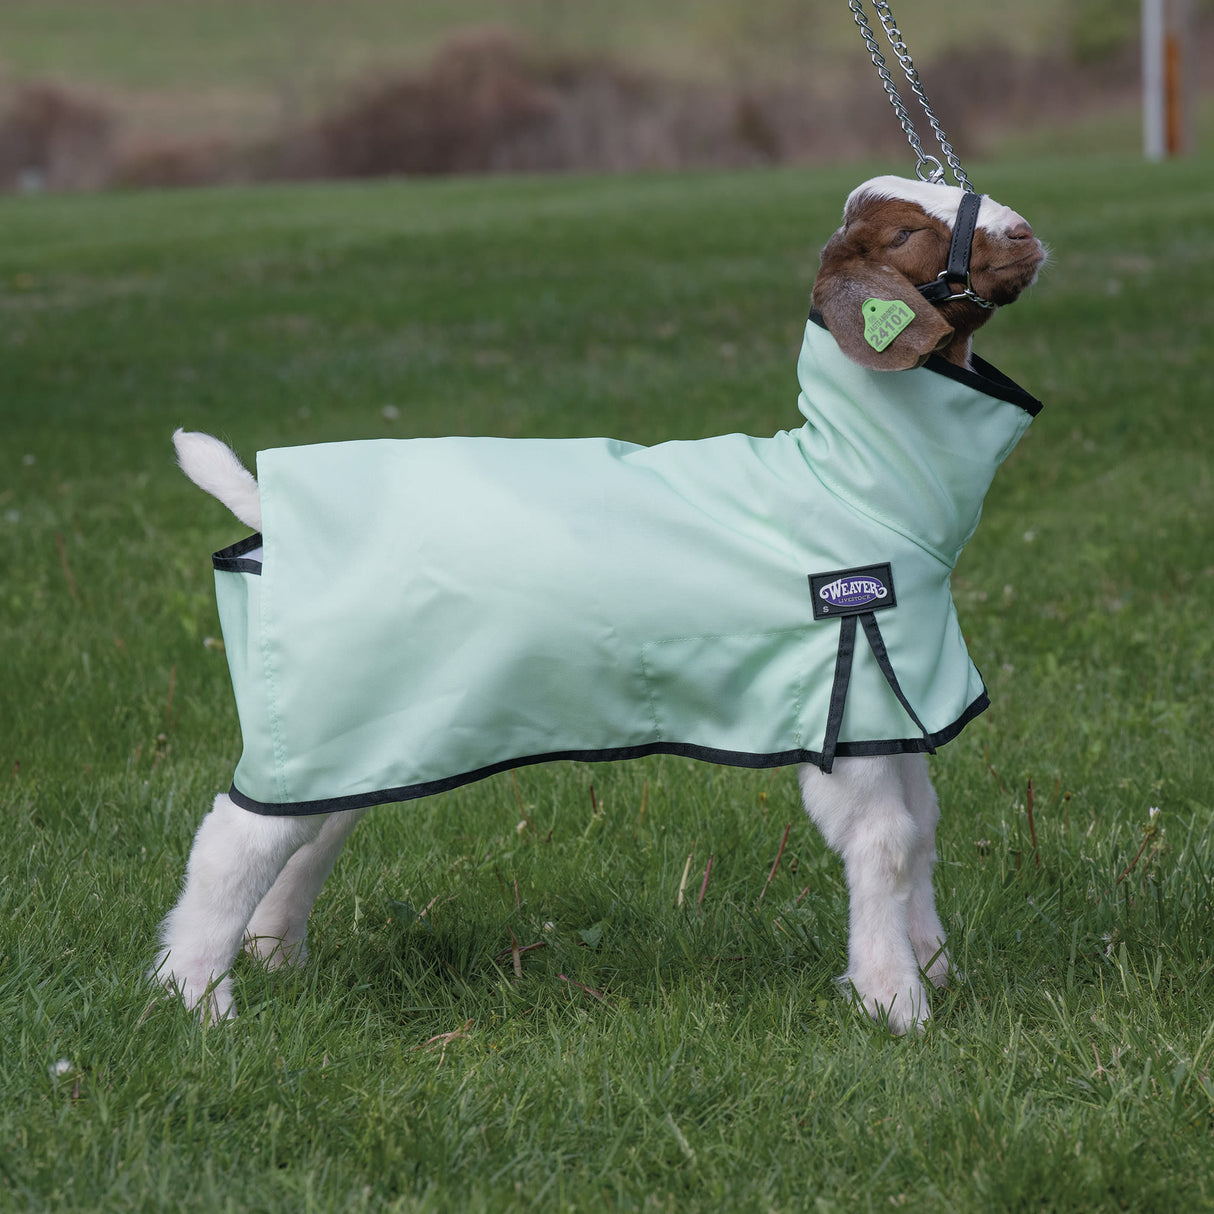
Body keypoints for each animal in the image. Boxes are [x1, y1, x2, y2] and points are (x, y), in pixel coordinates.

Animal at [153, 176, 1045, 1034]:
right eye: (903, 233)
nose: (1027, 234)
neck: (849, 483)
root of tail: (270, 507)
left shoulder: (893, 705)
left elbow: (922, 829)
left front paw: (932, 967)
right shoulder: (843, 687)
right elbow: (885, 844)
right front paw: (894, 1002)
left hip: (361, 726)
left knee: (317, 825)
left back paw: (276, 955)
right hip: (328, 700)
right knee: (236, 838)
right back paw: (196, 999)